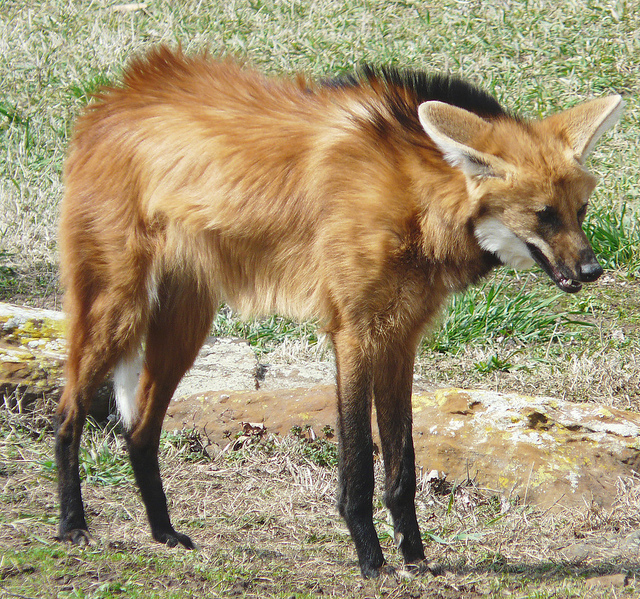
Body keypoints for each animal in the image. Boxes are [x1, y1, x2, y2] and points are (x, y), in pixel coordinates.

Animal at [55, 44, 620, 580]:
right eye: (544, 215)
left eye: (580, 212)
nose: (592, 269)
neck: (417, 201)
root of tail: (114, 96)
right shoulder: (355, 332)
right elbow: (359, 461)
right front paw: (371, 559)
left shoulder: (400, 336)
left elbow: (402, 462)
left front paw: (415, 559)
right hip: (118, 307)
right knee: (69, 412)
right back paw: (72, 526)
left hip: (184, 323)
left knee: (140, 432)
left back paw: (164, 533)